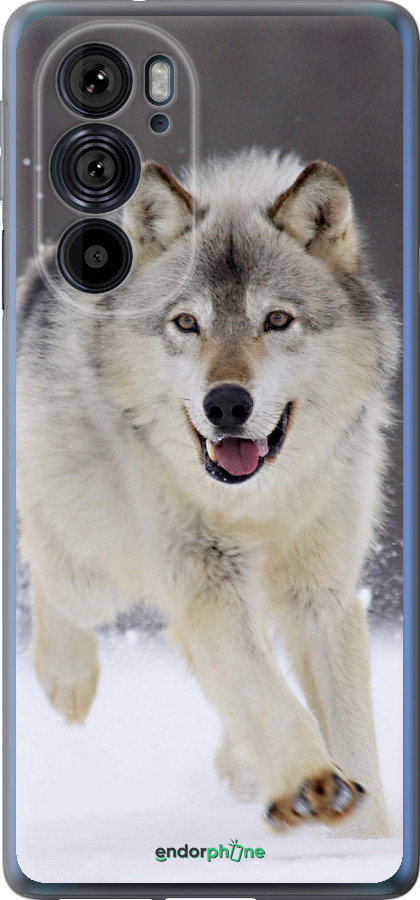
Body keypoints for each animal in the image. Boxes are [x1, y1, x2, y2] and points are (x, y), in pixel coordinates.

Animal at [17, 148, 398, 837]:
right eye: (187, 323)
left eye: (277, 320)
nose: (225, 404)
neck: (258, 503)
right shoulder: (205, 580)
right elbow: (268, 695)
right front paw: (312, 783)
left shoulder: (321, 594)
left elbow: (351, 732)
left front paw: (366, 838)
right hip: (97, 571)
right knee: (45, 561)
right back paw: (68, 679)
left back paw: (243, 767)